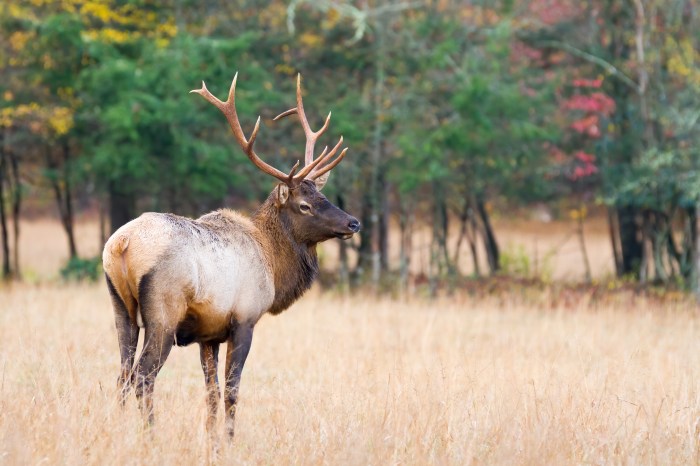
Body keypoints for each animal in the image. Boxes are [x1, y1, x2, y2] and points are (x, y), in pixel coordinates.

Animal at [102, 73, 360, 438]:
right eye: (304, 205)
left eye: (322, 195)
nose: (354, 222)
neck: (272, 262)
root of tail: (122, 243)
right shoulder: (244, 320)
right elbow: (232, 391)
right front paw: (229, 439)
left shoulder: (208, 335)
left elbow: (211, 393)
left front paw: (211, 439)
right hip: (163, 313)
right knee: (143, 376)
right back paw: (150, 435)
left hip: (120, 308)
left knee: (122, 375)